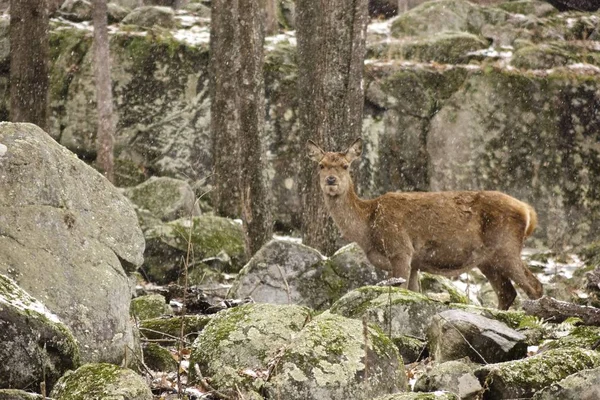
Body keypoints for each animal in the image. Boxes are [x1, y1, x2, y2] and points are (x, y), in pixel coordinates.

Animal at [308, 138, 548, 310]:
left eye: (345, 166)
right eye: (321, 165)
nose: (331, 180)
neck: (367, 228)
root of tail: (528, 211)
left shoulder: (400, 249)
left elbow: (401, 289)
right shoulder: (415, 262)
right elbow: (414, 293)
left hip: (506, 247)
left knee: (534, 285)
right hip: (487, 260)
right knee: (507, 292)